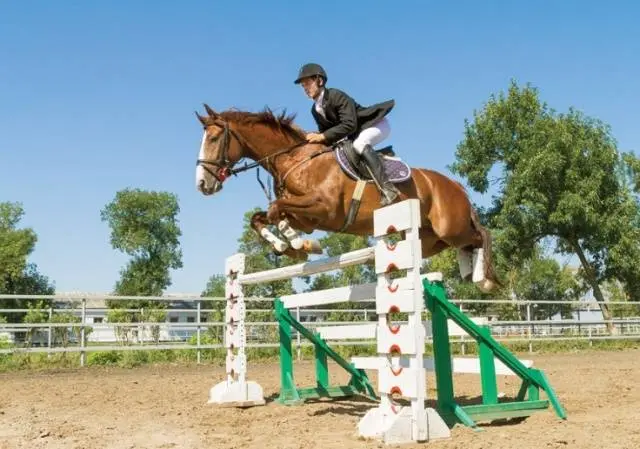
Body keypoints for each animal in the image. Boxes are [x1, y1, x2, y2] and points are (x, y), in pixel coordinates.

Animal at [195, 103, 500, 290]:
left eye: (213, 139)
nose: (201, 184)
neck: (295, 159)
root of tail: (454, 184)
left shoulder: (324, 209)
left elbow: (274, 208)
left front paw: (298, 244)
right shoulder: (308, 218)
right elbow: (262, 217)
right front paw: (290, 245)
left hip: (450, 227)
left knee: (481, 234)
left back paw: (482, 278)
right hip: (430, 239)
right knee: (464, 244)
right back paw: (469, 271)